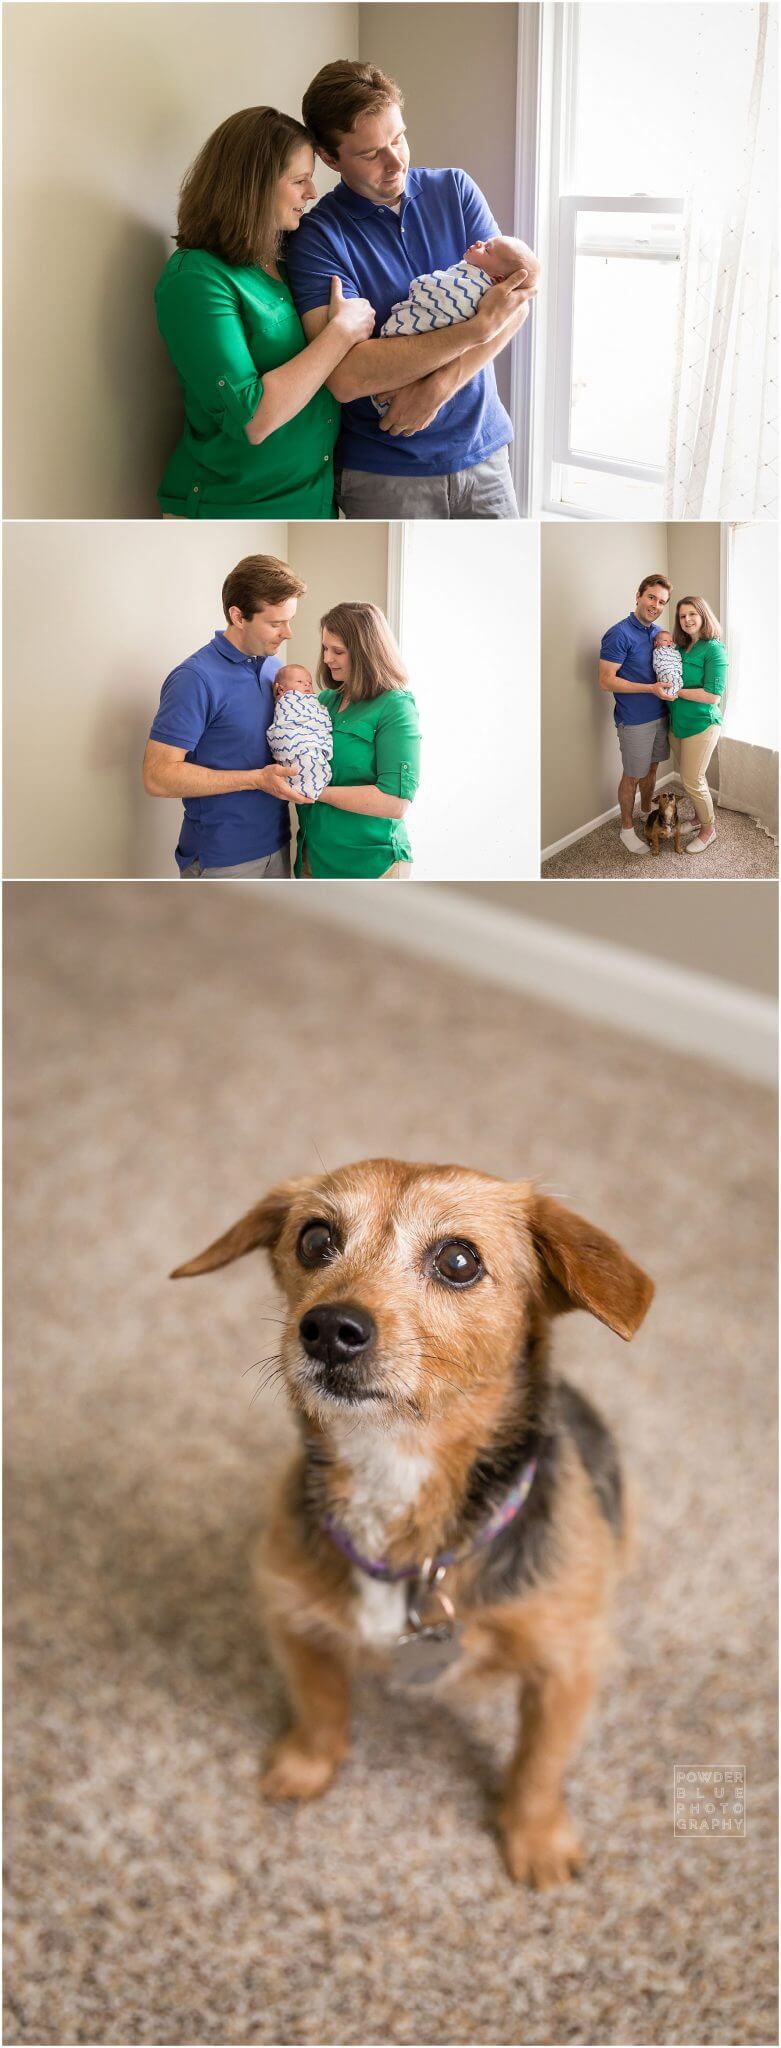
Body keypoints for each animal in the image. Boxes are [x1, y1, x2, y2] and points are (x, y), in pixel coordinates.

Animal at [172, 1163, 651, 1892]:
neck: (393, 1469)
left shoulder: (568, 1663)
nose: (328, 1327)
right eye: (314, 1239)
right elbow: (318, 1704)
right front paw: (306, 1766)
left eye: (458, 1260)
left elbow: (539, 1763)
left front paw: (535, 1838)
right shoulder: (289, 1613)